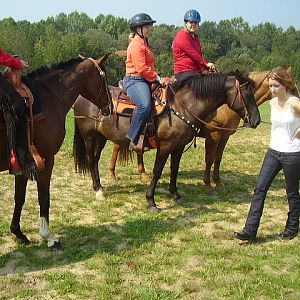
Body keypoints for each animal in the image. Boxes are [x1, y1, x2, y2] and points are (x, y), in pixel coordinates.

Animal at [0, 55, 112, 247]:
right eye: (103, 78)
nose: (110, 108)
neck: (49, 97)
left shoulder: (22, 167)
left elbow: (19, 198)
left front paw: (18, 233)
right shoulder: (47, 159)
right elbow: (44, 198)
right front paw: (48, 236)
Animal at [72, 70, 260, 211]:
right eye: (246, 93)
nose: (256, 120)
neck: (181, 106)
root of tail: (81, 96)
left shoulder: (179, 146)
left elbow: (174, 168)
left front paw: (174, 193)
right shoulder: (165, 146)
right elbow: (157, 171)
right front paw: (151, 201)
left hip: (101, 137)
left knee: (95, 159)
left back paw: (100, 187)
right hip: (89, 136)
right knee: (91, 159)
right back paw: (98, 191)